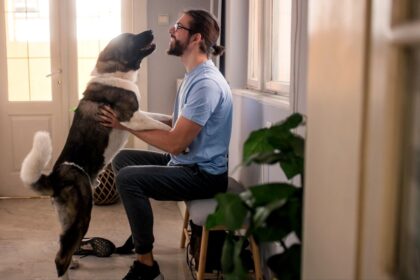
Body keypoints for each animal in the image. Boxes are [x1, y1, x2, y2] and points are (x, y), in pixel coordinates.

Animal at [19, 30, 171, 278]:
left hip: (68, 219)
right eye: (132, 37)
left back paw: (73, 262)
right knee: (60, 257)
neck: (115, 71)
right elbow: (164, 129)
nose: (150, 32)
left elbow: (163, 118)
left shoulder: (141, 114)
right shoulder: (132, 118)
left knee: (64, 245)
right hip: (82, 216)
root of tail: (55, 176)